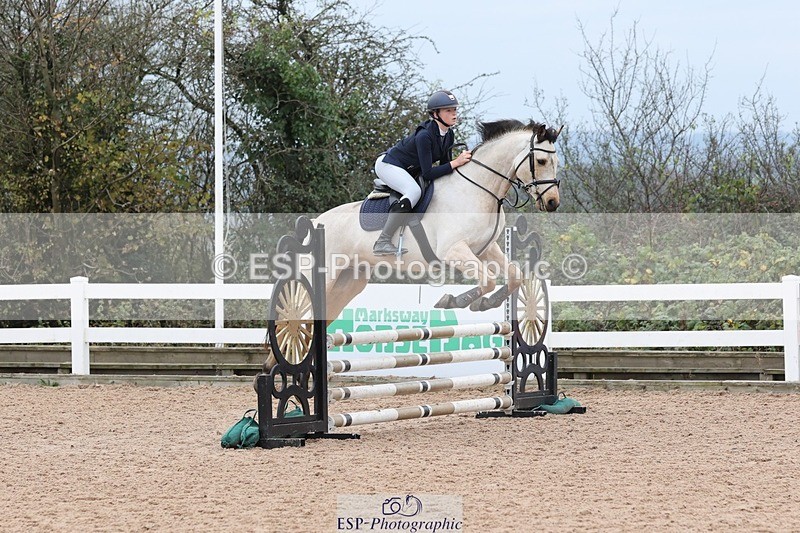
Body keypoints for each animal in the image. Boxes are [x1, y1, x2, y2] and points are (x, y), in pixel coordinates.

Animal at [314, 119, 562, 323]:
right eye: (541, 161)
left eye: (556, 162)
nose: (552, 202)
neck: (478, 189)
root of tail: (316, 223)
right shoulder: (453, 250)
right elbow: (488, 280)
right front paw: (452, 301)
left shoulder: (486, 249)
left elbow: (515, 276)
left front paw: (485, 303)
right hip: (326, 276)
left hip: (348, 283)